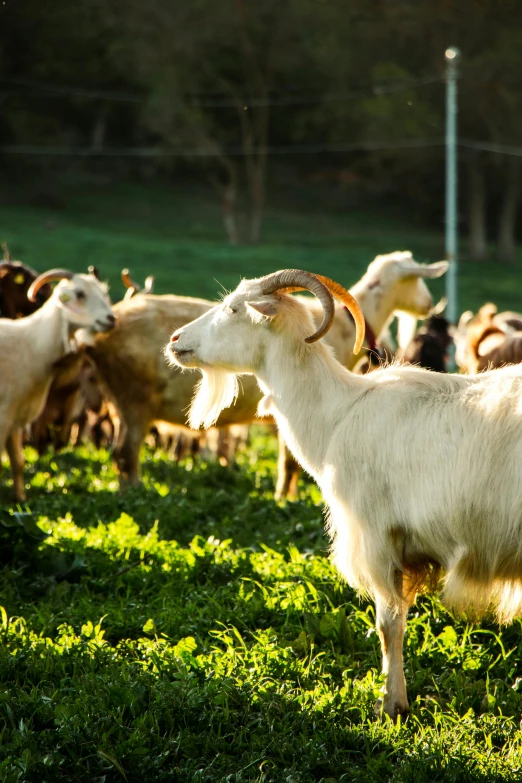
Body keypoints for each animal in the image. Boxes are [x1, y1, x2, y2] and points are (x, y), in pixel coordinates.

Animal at [0, 270, 114, 500]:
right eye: (80, 294)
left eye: (104, 293)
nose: (111, 319)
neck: (32, 345)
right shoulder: (3, 413)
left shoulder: (16, 415)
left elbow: (18, 462)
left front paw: (20, 499)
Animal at [168, 272, 522, 724]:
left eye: (232, 309)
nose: (175, 339)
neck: (337, 413)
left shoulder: (378, 537)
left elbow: (389, 625)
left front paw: (392, 706)